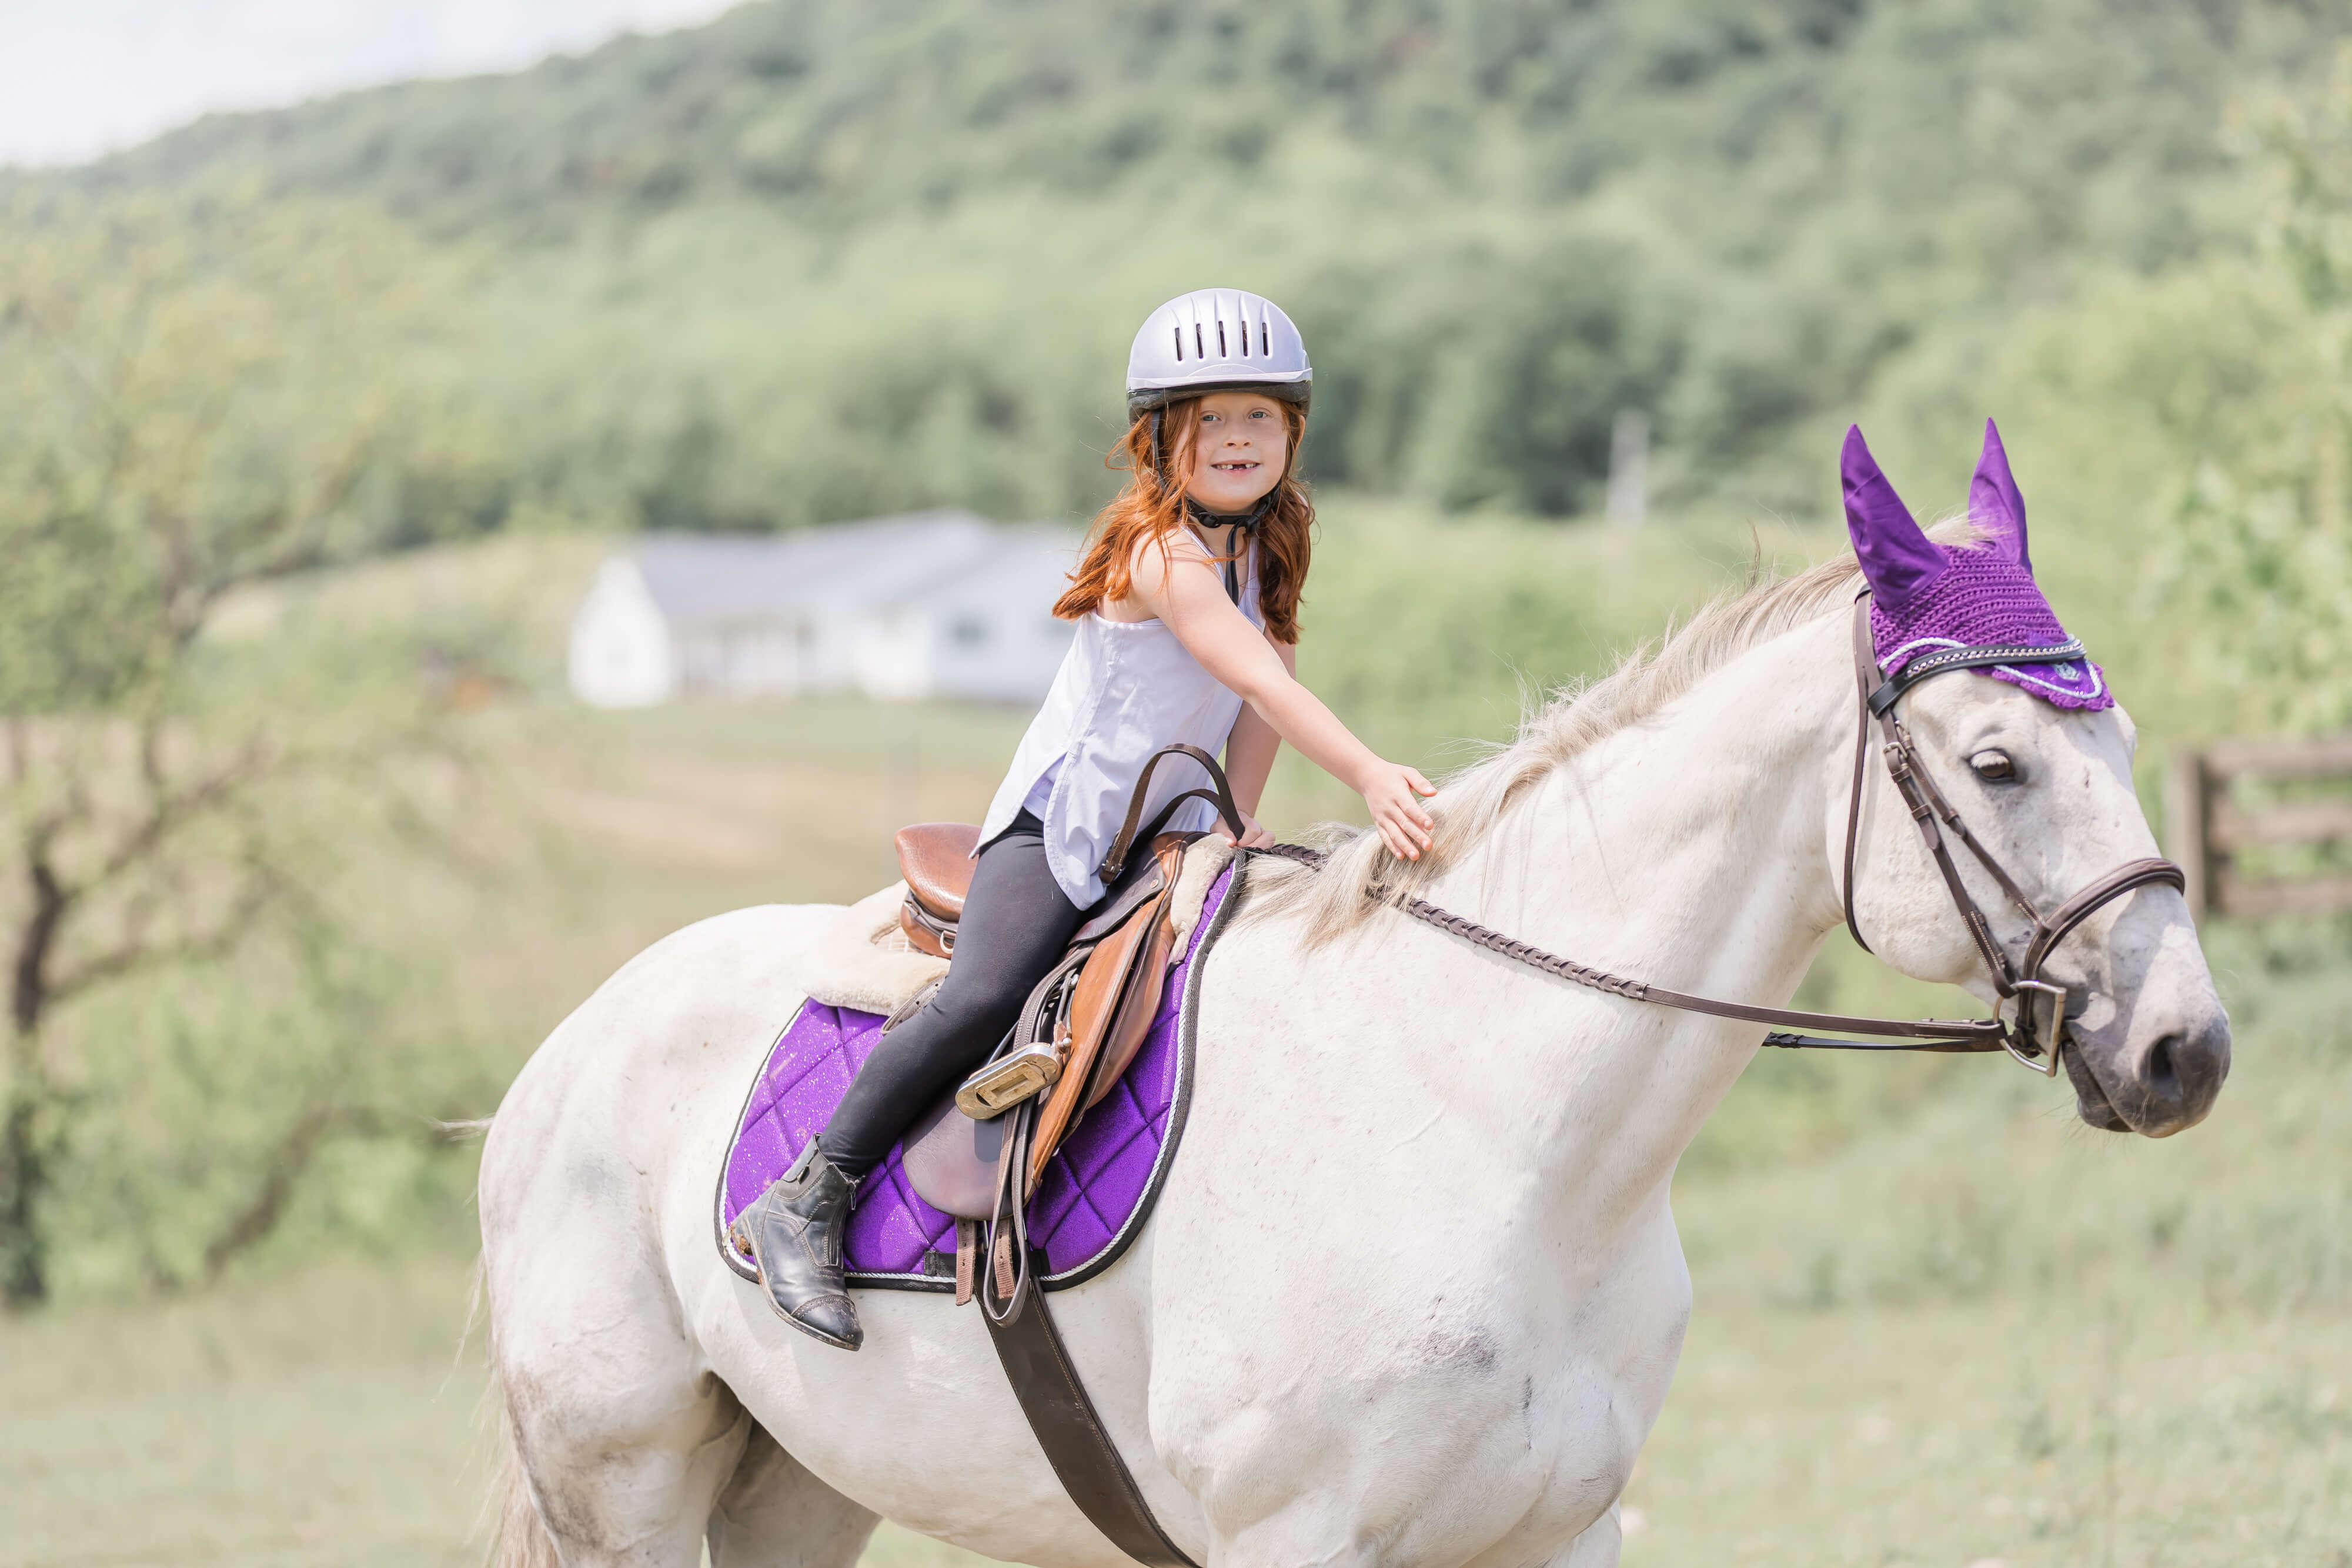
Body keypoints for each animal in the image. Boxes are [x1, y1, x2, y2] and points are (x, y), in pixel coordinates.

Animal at [477, 543, 2220, 1568]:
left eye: (2127, 743)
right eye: (1995, 763)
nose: (2184, 1049)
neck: (1499, 1128)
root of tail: (556, 1060)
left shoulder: (1555, 1535)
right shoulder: (1295, 1539)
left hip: (798, 1486)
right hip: (623, 1482)